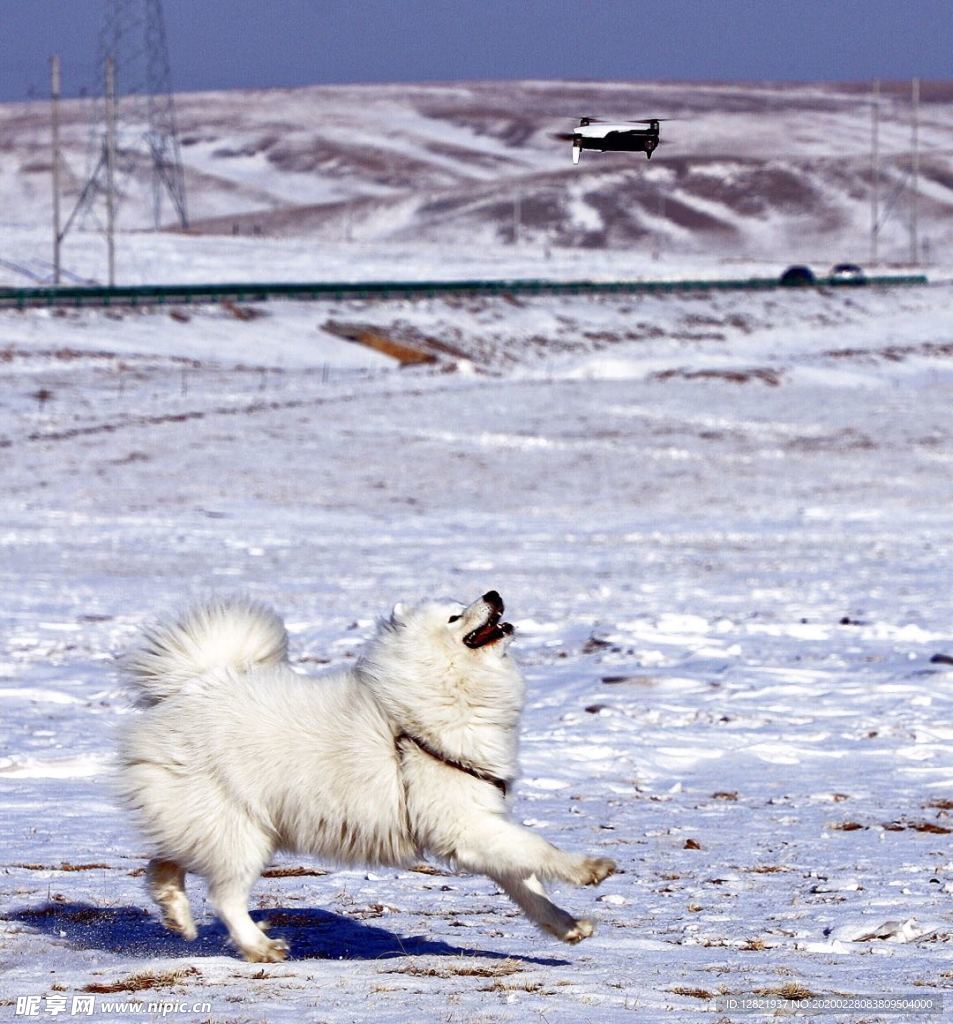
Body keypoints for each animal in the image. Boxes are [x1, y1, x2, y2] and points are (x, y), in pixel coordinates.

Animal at [115, 593, 614, 958]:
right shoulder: (463, 825)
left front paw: (569, 927)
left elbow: (528, 885)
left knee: (163, 865)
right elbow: (538, 850)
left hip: (215, 824)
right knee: (224, 897)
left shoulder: (478, 825)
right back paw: (261, 947)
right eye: (455, 615)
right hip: (242, 833)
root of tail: (191, 687)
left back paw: (178, 917)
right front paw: (590, 869)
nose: (494, 594)